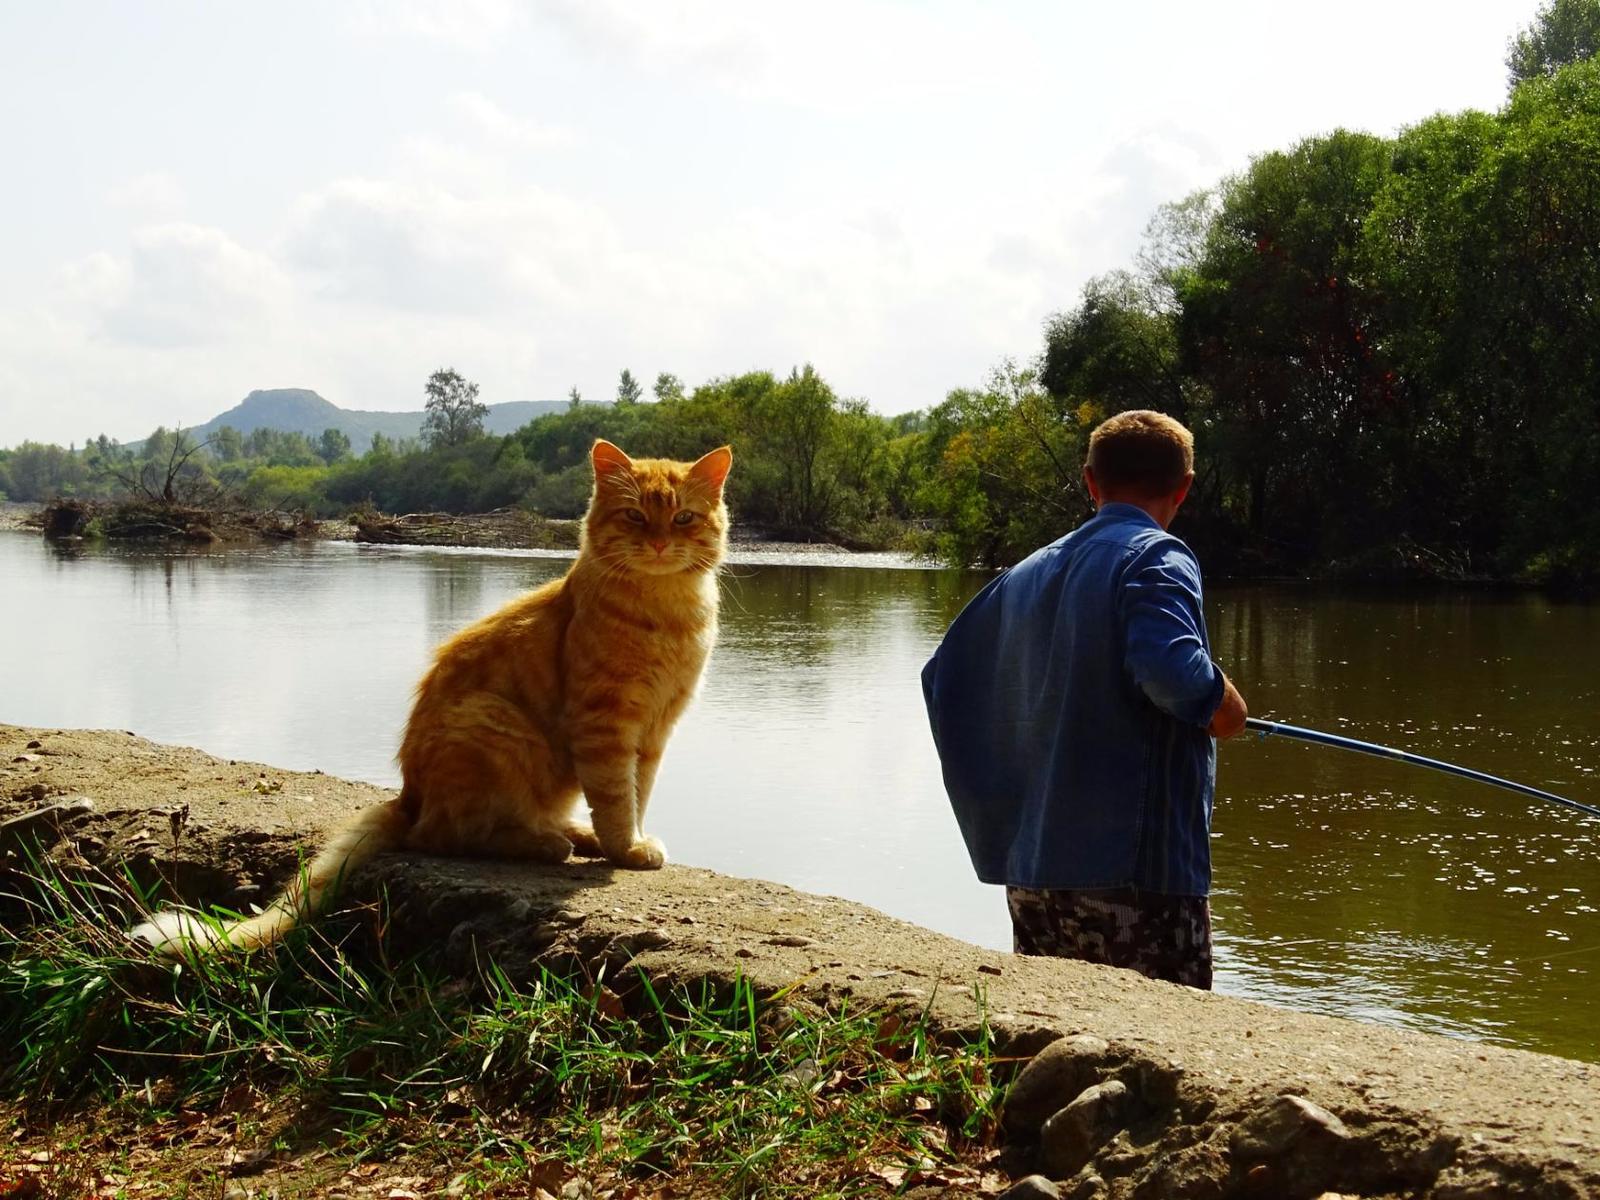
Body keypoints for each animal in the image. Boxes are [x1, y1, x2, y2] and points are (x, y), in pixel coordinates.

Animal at [136, 441, 732, 960]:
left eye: (683, 519)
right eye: (635, 516)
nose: (659, 543)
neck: (668, 614)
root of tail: (408, 794)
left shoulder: (654, 731)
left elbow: (636, 793)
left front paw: (628, 842)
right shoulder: (606, 725)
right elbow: (614, 796)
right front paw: (624, 848)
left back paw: (568, 833)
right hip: (494, 725)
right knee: (449, 834)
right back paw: (546, 844)